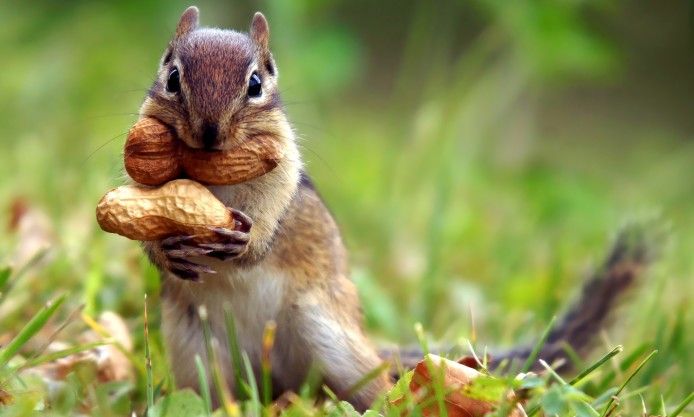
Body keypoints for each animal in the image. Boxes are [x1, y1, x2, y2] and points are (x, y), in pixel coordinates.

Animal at [136, 6, 659, 411]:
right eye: (172, 76)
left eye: (256, 83)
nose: (208, 134)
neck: (212, 178)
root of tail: (272, 377)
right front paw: (166, 252)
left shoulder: (282, 179)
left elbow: (270, 223)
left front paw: (246, 243)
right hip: (195, 354)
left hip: (331, 340)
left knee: (377, 391)